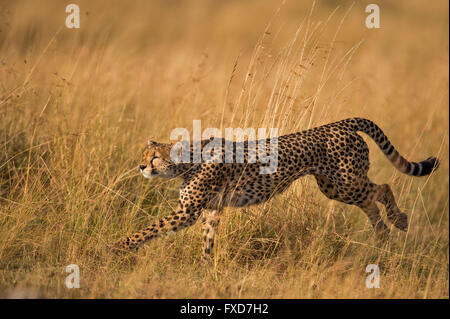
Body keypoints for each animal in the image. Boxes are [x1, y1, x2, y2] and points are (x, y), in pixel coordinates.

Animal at [110, 117, 440, 260]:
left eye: (154, 157)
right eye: (144, 156)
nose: (141, 167)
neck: (189, 161)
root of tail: (339, 123)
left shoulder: (187, 212)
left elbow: (150, 229)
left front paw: (119, 246)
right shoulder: (211, 211)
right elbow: (207, 241)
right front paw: (205, 270)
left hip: (346, 183)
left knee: (382, 188)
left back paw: (398, 221)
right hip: (334, 186)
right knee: (371, 199)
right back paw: (382, 235)